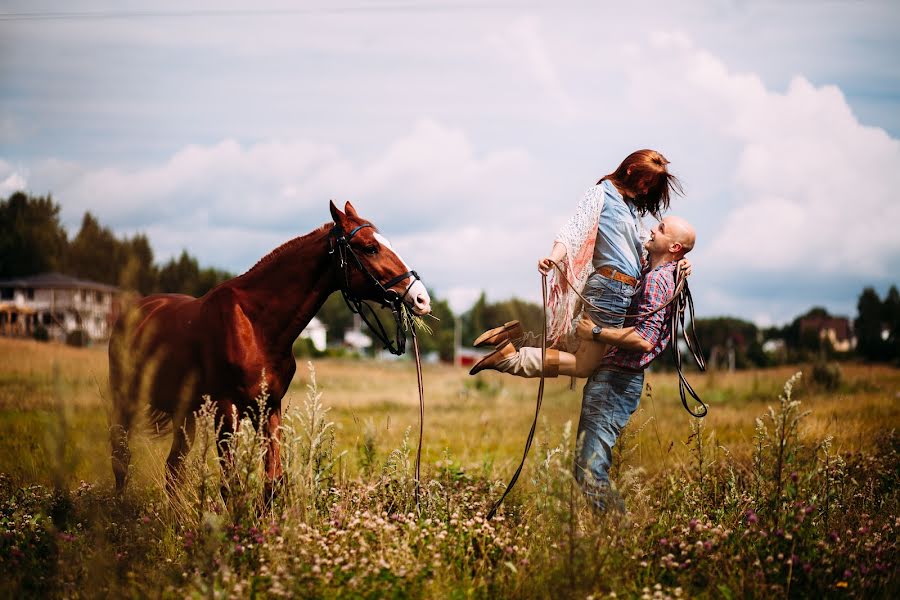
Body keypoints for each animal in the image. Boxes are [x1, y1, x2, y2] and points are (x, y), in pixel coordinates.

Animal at [109, 202, 432, 496]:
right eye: (369, 248)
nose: (421, 298)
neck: (257, 326)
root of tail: (134, 311)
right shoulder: (226, 413)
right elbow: (231, 487)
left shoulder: (269, 409)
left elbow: (273, 482)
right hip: (126, 402)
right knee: (121, 458)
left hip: (184, 414)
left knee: (173, 470)